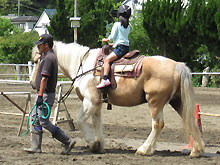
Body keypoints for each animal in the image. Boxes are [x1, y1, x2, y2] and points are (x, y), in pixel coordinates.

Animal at [30, 41, 205, 157]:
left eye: (38, 60)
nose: (32, 83)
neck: (83, 65)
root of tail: (177, 65)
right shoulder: (97, 103)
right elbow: (96, 122)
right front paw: (99, 144)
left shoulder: (90, 101)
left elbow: (80, 120)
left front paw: (93, 143)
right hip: (177, 101)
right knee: (190, 119)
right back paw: (196, 150)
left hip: (155, 102)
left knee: (158, 124)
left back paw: (144, 149)